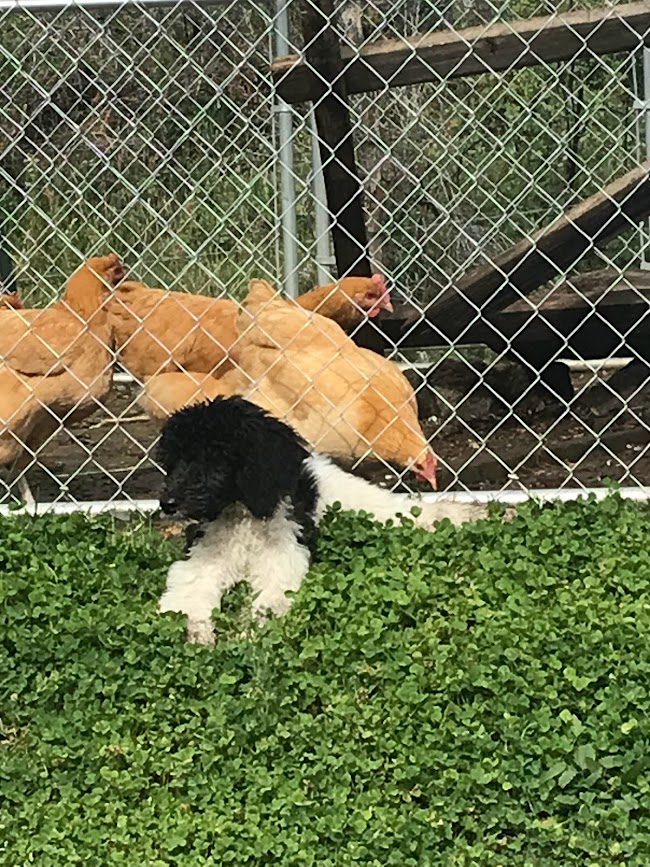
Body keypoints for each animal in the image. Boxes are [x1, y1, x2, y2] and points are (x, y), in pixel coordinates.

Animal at [156, 396, 480, 644]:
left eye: (212, 458)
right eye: (175, 460)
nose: (167, 503)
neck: (241, 515)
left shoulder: (284, 560)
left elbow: (268, 601)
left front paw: (246, 634)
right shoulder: (200, 559)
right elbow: (187, 597)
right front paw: (197, 635)